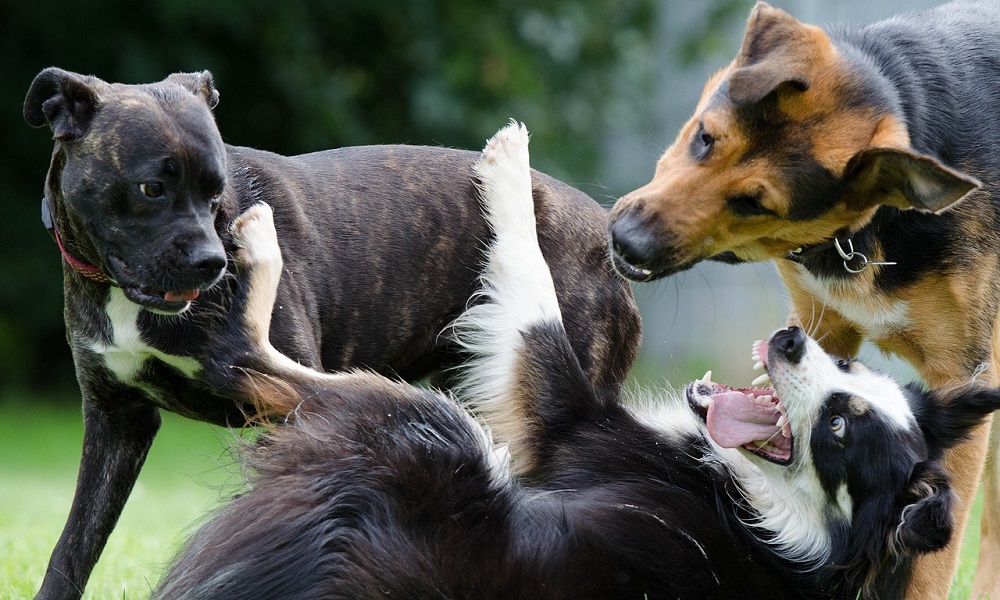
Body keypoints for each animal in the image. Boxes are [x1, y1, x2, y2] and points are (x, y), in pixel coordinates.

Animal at [21, 68, 640, 596]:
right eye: (152, 188)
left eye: (216, 192)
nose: (212, 262)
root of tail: (604, 234)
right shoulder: (115, 420)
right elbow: (75, 544)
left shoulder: (285, 414)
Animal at [152, 123, 1000, 600]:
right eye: (853, 376)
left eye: (837, 431)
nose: (793, 342)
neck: (777, 519)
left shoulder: (565, 420)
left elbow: (533, 302)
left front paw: (508, 166)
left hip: (431, 426)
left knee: (257, 362)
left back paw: (257, 246)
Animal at [604, 3, 1000, 596]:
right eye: (704, 138)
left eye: (753, 203)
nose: (624, 242)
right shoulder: (823, 326)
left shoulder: (961, 371)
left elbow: (928, 560)